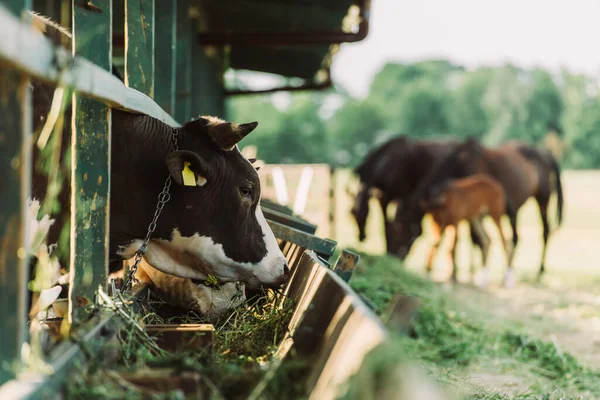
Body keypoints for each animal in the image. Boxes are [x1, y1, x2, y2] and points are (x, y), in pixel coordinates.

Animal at [394, 138, 564, 288]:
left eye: (401, 227)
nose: (396, 256)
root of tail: (546, 154)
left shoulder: (461, 216)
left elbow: (466, 241)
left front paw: (461, 275)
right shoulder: (464, 216)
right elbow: (468, 240)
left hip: (542, 200)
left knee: (541, 232)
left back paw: (533, 273)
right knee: (511, 238)